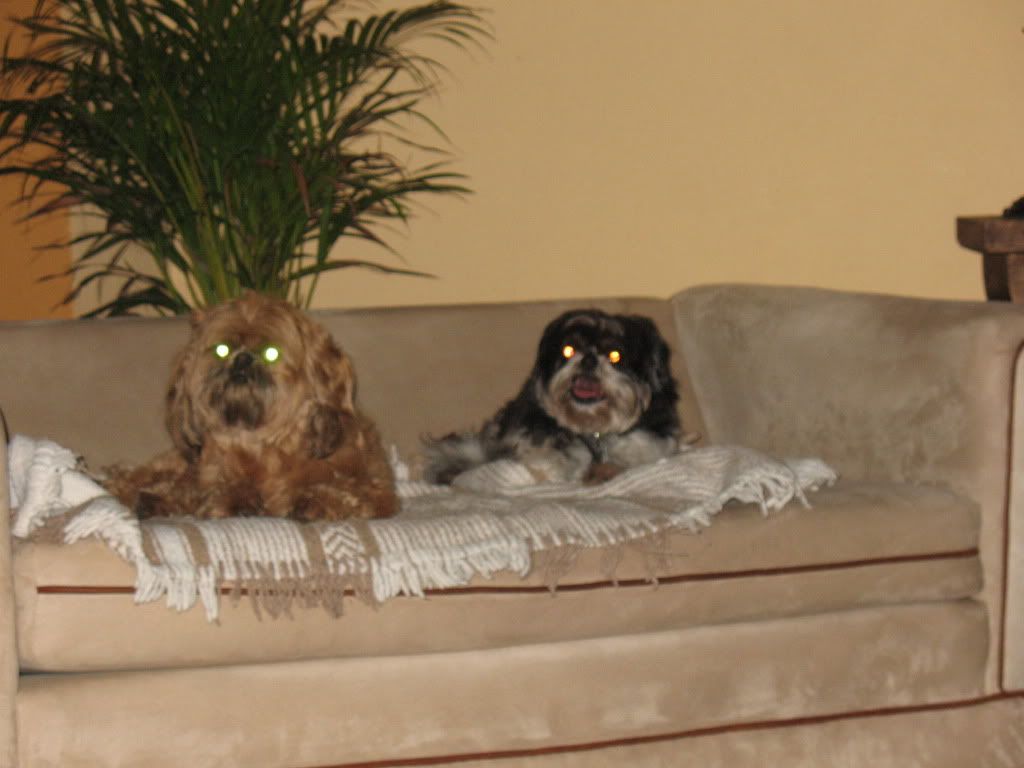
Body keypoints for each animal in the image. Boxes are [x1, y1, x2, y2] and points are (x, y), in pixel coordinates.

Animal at [104, 291, 396, 521]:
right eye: (222, 349)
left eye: (271, 353)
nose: (242, 359)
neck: (262, 448)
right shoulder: (206, 475)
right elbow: (208, 490)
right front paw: (236, 498)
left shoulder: (377, 490)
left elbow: (346, 491)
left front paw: (314, 501)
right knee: (135, 480)